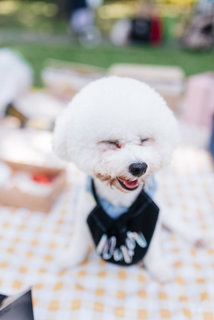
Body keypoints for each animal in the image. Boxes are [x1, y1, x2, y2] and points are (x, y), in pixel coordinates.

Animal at [53, 76, 204, 282]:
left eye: (144, 140)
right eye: (111, 142)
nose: (139, 167)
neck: (119, 198)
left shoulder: (152, 211)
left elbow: (154, 245)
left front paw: (158, 268)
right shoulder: (85, 207)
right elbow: (79, 237)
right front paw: (71, 257)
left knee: (171, 217)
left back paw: (194, 236)